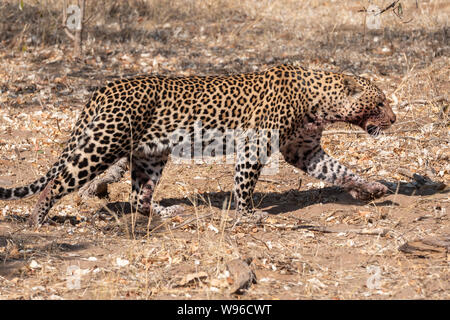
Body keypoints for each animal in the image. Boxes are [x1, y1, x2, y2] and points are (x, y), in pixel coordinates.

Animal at [0, 63, 394, 226]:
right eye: (379, 103)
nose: (393, 119)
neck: (320, 103)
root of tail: (104, 88)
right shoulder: (255, 145)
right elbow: (245, 184)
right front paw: (247, 215)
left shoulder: (304, 149)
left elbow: (339, 170)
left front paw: (371, 187)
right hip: (102, 143)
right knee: (57, 181)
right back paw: (36, 220)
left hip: (151, 154)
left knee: (138, 196)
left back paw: (165, 213)